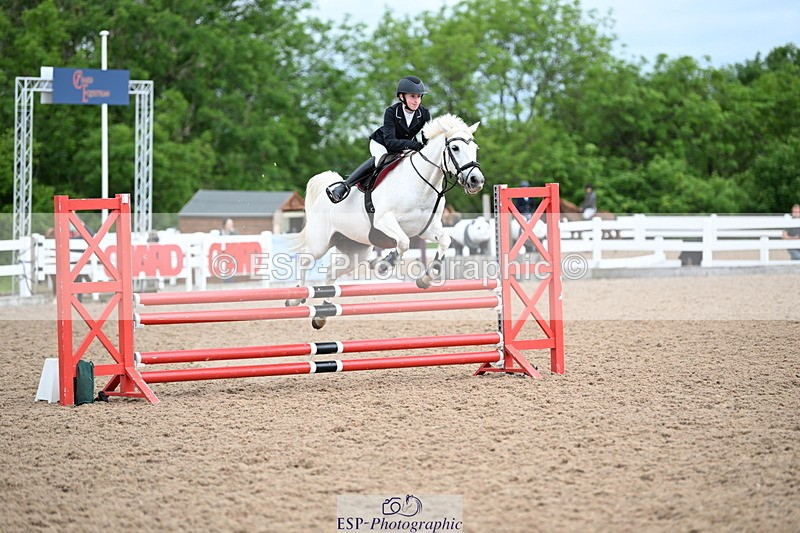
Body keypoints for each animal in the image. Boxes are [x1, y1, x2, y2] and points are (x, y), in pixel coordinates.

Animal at [288, 114, 485, 329]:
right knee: (305, 259)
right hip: (320, 243)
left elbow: (444, 241)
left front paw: (427, 278)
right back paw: (295, 297)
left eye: (475, 149)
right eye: (455, 148)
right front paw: (384, 264)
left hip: (355, 250)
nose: (476, 181)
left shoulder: (427, 228)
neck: (421, 184)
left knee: (332, 272)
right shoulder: (384, 221)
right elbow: (403, 243)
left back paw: (321, 315)